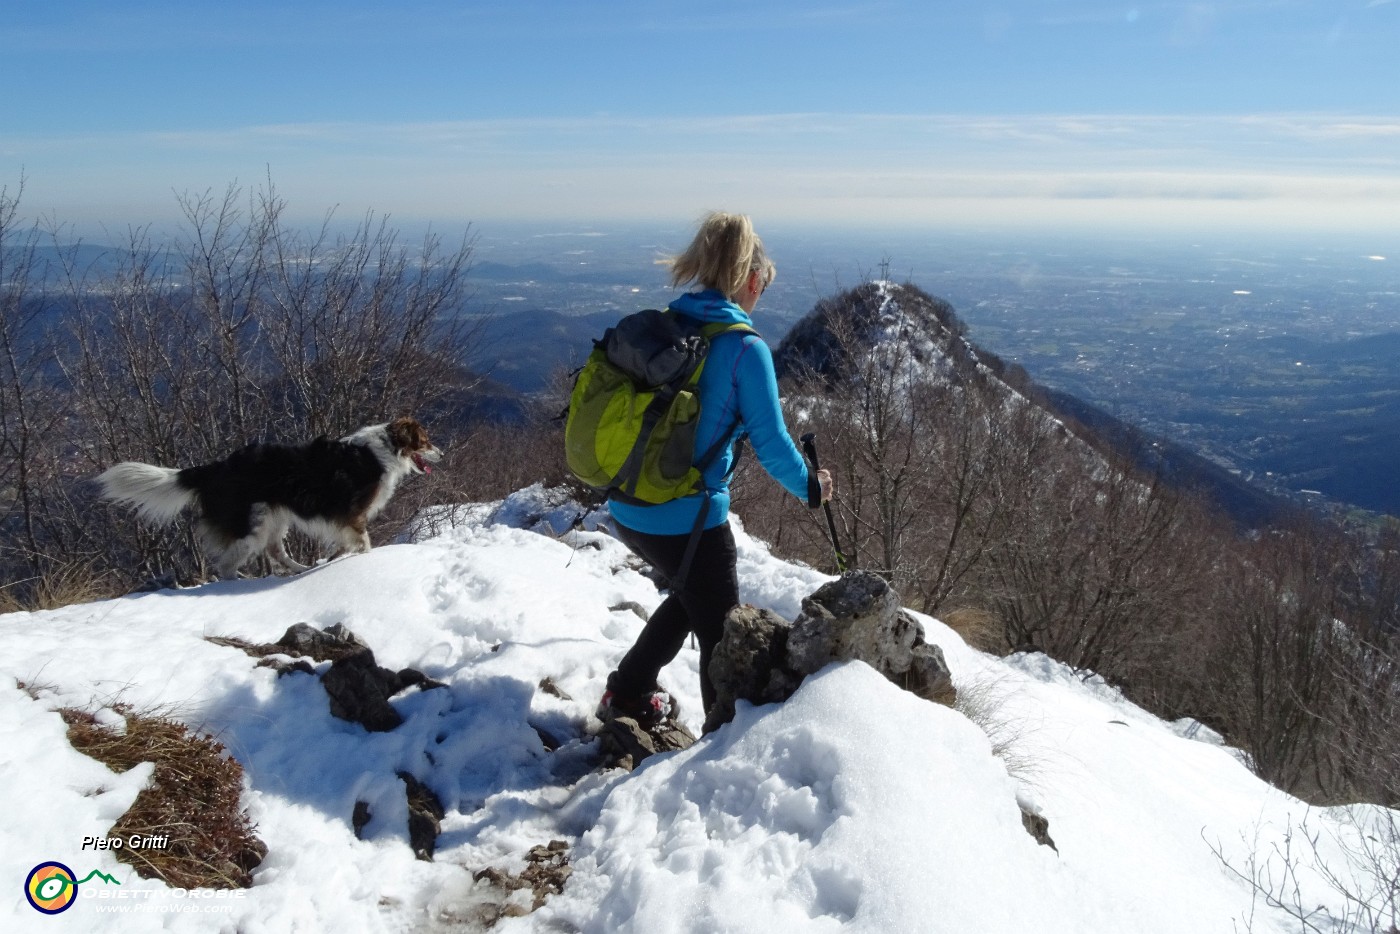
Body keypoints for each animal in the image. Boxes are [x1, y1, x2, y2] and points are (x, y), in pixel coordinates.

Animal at [95, 417, 442, 576]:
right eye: (425, 441)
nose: (442, 453)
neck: (386, 449)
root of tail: (216, 468)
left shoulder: (340, 521)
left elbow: (346, 545)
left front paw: (334, 559)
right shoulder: (351, 514)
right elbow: (364, 542)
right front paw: (363, 560)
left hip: (274, 517)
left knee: (276, 551)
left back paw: (301, 569)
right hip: (253, 525)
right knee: (227, 564)